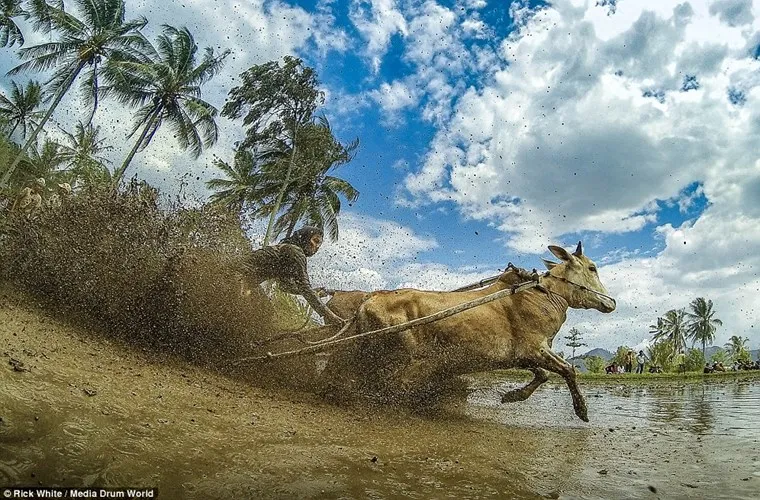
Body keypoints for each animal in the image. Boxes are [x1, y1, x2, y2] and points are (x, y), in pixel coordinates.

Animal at [320, 242, 612, 422]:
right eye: (592, 268)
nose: (611, 303)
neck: (542, 293)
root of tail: (369, 299)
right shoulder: (534, 348)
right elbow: (568, 370)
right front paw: (582, 410)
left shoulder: (523, 355)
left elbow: (543, 375)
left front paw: (512, 396)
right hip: (392, 355)